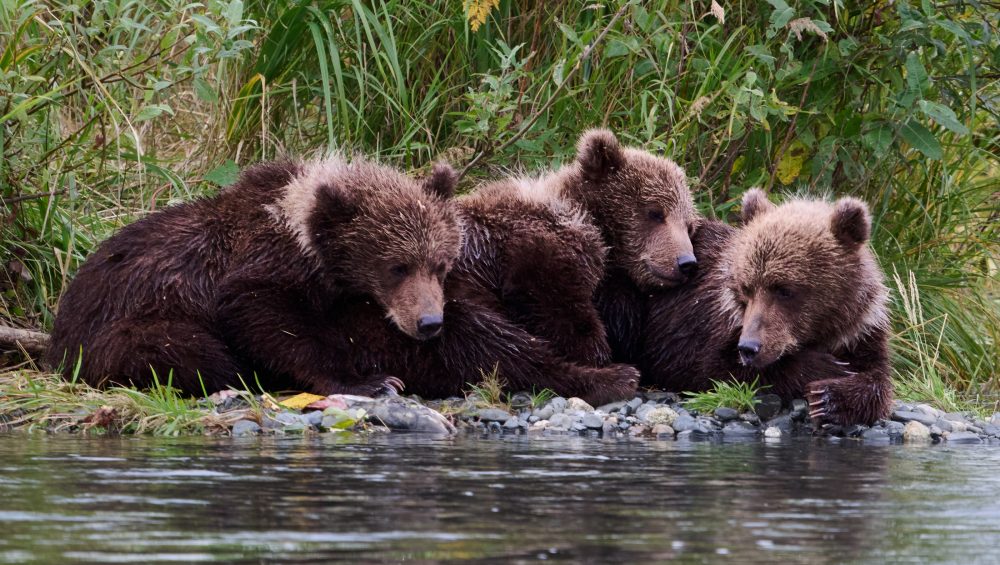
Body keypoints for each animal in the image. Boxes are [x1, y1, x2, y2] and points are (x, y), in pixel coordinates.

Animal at [45, 157, 463, 397]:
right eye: (396, 267)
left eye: (440, 264)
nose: (429, 322)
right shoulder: (259, 267)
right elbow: (265, 320)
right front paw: (372, 381)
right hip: (121, 327)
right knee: (180, 348)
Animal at [640, 189, 893, 426]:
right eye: (747, 287)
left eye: (784, 290)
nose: (748, 347)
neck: (820, 333)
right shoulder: (704, 322)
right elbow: (710, 368)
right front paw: (827, 369)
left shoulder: (860, 330)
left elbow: (879, 378)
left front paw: (829, 398)